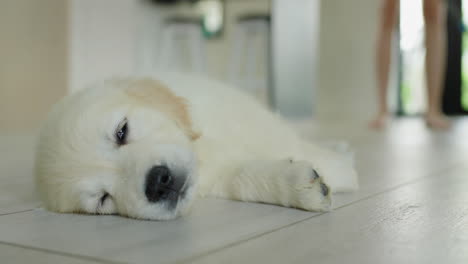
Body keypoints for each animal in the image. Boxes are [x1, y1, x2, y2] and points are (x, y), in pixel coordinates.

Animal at [35, 73, 358, 220]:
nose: (158, 182)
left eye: (121, 131)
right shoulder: (220, 177)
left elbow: (300, 146)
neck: (204, 152)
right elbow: (244, 178)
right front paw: (299, 186)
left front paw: (342, 169)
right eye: (103, 199)